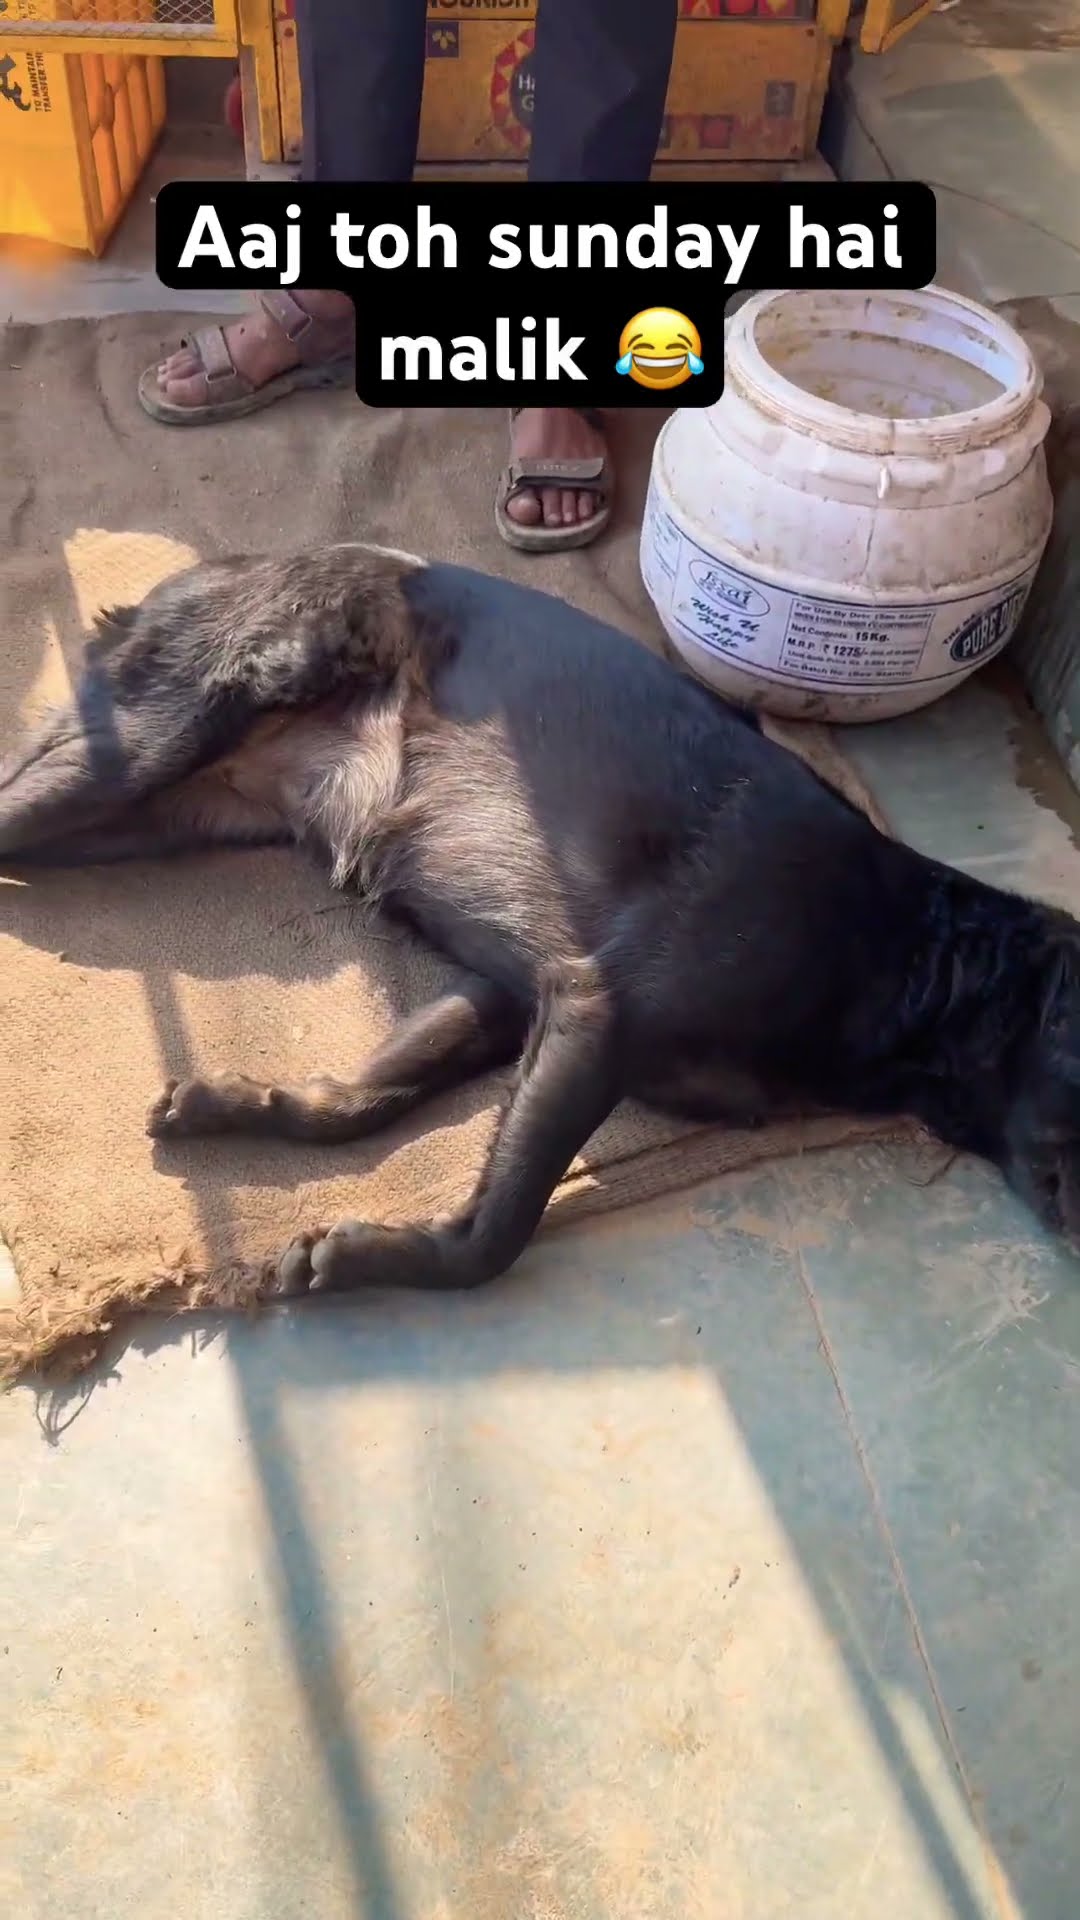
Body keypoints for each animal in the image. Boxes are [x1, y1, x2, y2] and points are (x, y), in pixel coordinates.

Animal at [1, 543, 1078, 1296]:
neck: (913, 959)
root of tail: (207, 571)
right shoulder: (599, 1019)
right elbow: (497, 1233)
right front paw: (380, 1259)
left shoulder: (520, 997)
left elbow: (363, 1098)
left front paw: (246, 1106)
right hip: (145, 746)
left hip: (146, 813)